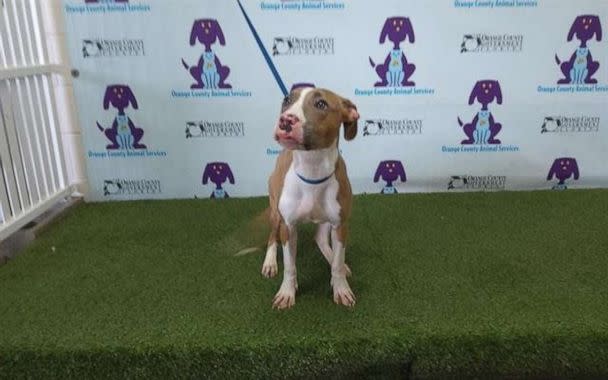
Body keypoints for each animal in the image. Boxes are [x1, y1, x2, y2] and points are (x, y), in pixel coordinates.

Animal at [260, 87, 356, 308]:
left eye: (321, 104)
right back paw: (270, 263)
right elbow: (290, 266)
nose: (285, 120)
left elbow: (337, 262)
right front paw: (287, 292)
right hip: (275, 211)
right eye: (287, 100)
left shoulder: (341, 224)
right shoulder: (288, 226)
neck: (313, 170)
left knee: (321, 239)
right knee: (272, 236)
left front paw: (341, 288)